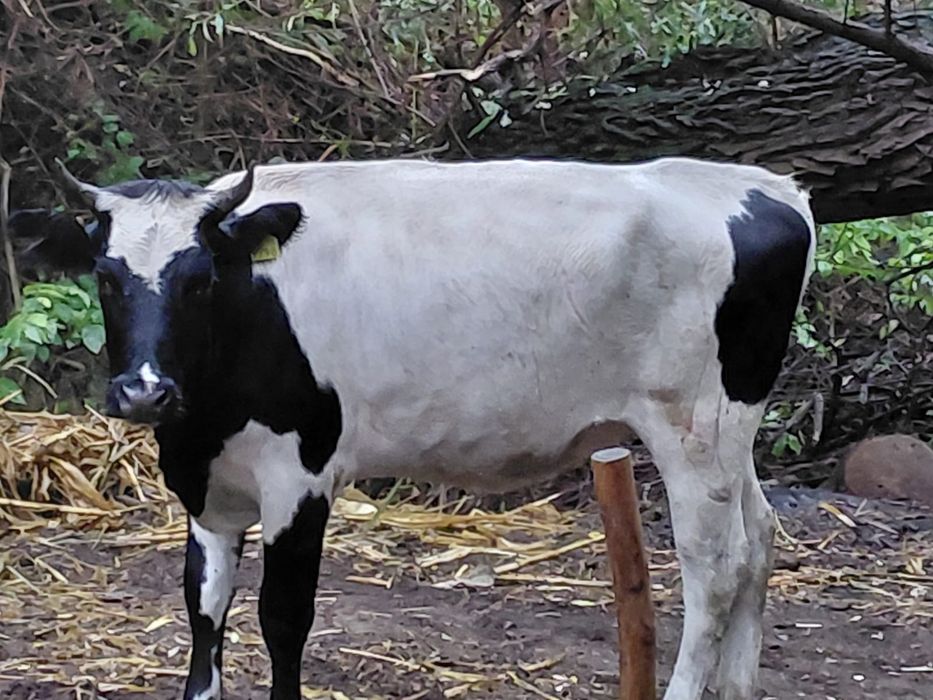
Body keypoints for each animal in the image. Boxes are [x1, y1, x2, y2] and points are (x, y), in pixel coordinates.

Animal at [10, 156, 815, 700]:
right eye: (106, 277)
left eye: (200, 278)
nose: (145, 390)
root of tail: (765, 187)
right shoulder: (209, 490)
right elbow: (204, 612)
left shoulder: (301, 474)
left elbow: (282, 616)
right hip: (729, 432)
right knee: (759, 538)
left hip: (690, 427)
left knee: (715, 565)